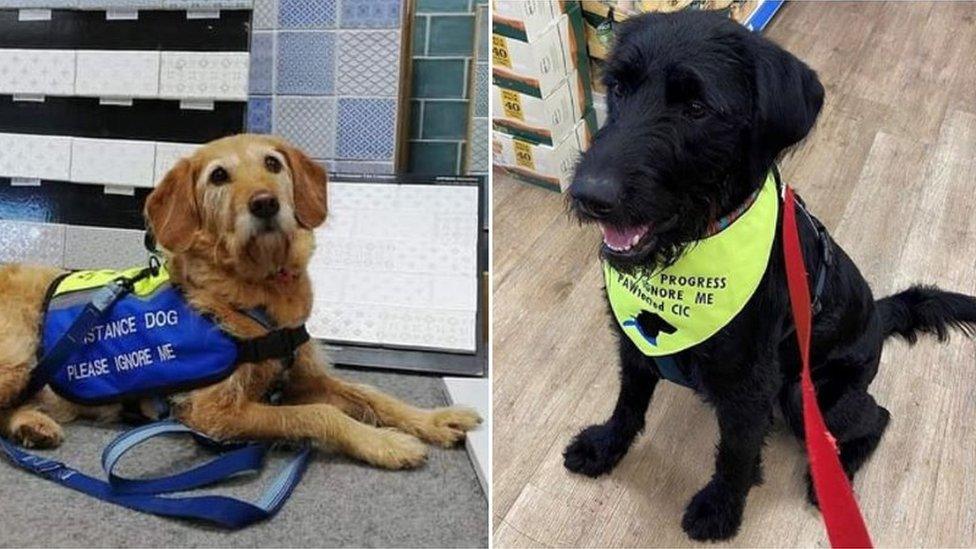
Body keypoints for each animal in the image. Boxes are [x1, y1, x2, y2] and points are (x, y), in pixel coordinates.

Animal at [0, 135, 480, 524]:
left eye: (272, 163)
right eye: (218, 176)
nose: (265, 203)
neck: (257, 295)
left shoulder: (300, 376)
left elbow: (372, 394)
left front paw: (433, 420)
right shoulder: (213, 413)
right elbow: (319, 414)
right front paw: (386, 443)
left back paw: (32, 427)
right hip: (19, 355)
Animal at [560, 10, 976, 540]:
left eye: (696, 107)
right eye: (617, 87)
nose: (590, 195)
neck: (700, 242)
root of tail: (879, 319)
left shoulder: (749, 386)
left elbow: (736, 453)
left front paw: (721, 508)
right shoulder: (636, 346)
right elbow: (627, 404)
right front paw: (605, 447)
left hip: (805, 392)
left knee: (877, 417)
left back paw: (832, 478)